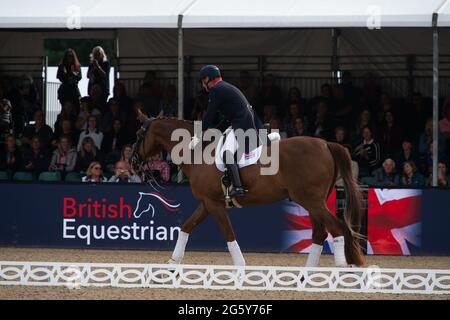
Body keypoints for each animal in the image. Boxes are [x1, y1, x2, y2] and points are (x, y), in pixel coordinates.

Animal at [134, 117, 366, 268]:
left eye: (138, 134)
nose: (134, 163)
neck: (198, 152)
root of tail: (326, 144)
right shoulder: (208, 203)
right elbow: (186, 226)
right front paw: (173, 262)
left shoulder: (213, 203)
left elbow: (228, 233)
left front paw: (240, 267)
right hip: (312, 202)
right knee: (320, 233)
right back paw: (306, 275)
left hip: (312, 201)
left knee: (336, 228)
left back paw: (338, 269)